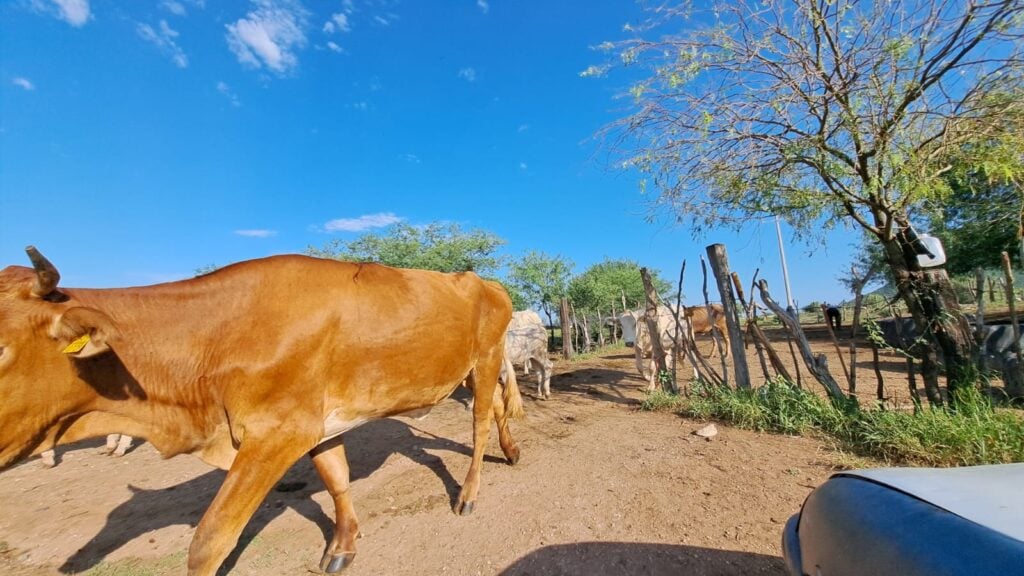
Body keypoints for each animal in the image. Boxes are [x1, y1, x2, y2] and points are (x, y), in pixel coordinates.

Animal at [0, 247, 524, 573]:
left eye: (2, 348)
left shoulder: (277, 434)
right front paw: (343, 545)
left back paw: (469, 493)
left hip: (484, 360)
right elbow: (336, 479)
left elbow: (210, 541)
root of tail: (485, 281)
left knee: (479, 422)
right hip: (473, 369)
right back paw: (512, 450)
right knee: (499, 406)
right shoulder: (317, 423)